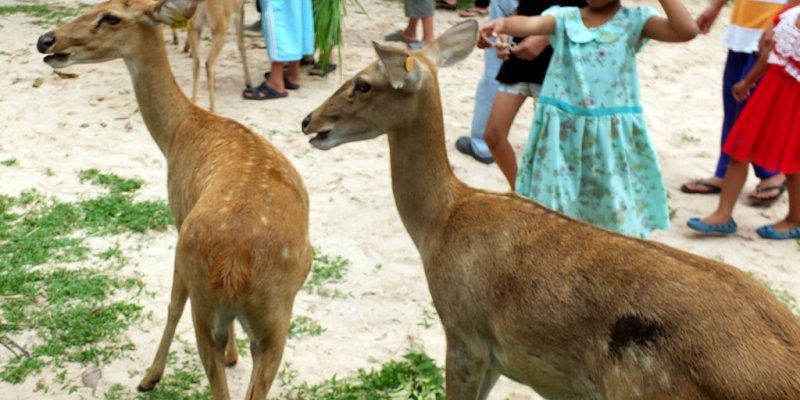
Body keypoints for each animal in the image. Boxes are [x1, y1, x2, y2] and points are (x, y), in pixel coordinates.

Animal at [38, 1, 310, 398]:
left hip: (210, 296)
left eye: (111, 16)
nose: (46, 40)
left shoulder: (178, 218)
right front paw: (232, 357)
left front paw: (150, 376)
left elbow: (171, 305)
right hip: (274, 323)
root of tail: (234, 265)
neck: (178, 133)